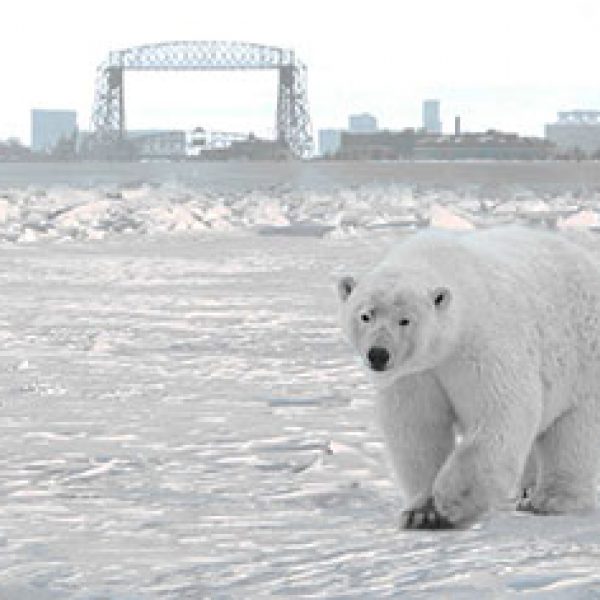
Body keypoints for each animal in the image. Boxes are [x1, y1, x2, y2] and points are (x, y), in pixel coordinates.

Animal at [338, 226, 600, 528]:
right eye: (365, 315)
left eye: (405, 320)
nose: (378, 354)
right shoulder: (415, 375)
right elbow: (418, 429)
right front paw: (420, 513)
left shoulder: (480, 346)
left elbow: (500, 412)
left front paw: (449, 502)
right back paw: (527, 491)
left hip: (583, 362)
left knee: (573, 431)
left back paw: (552, 499)